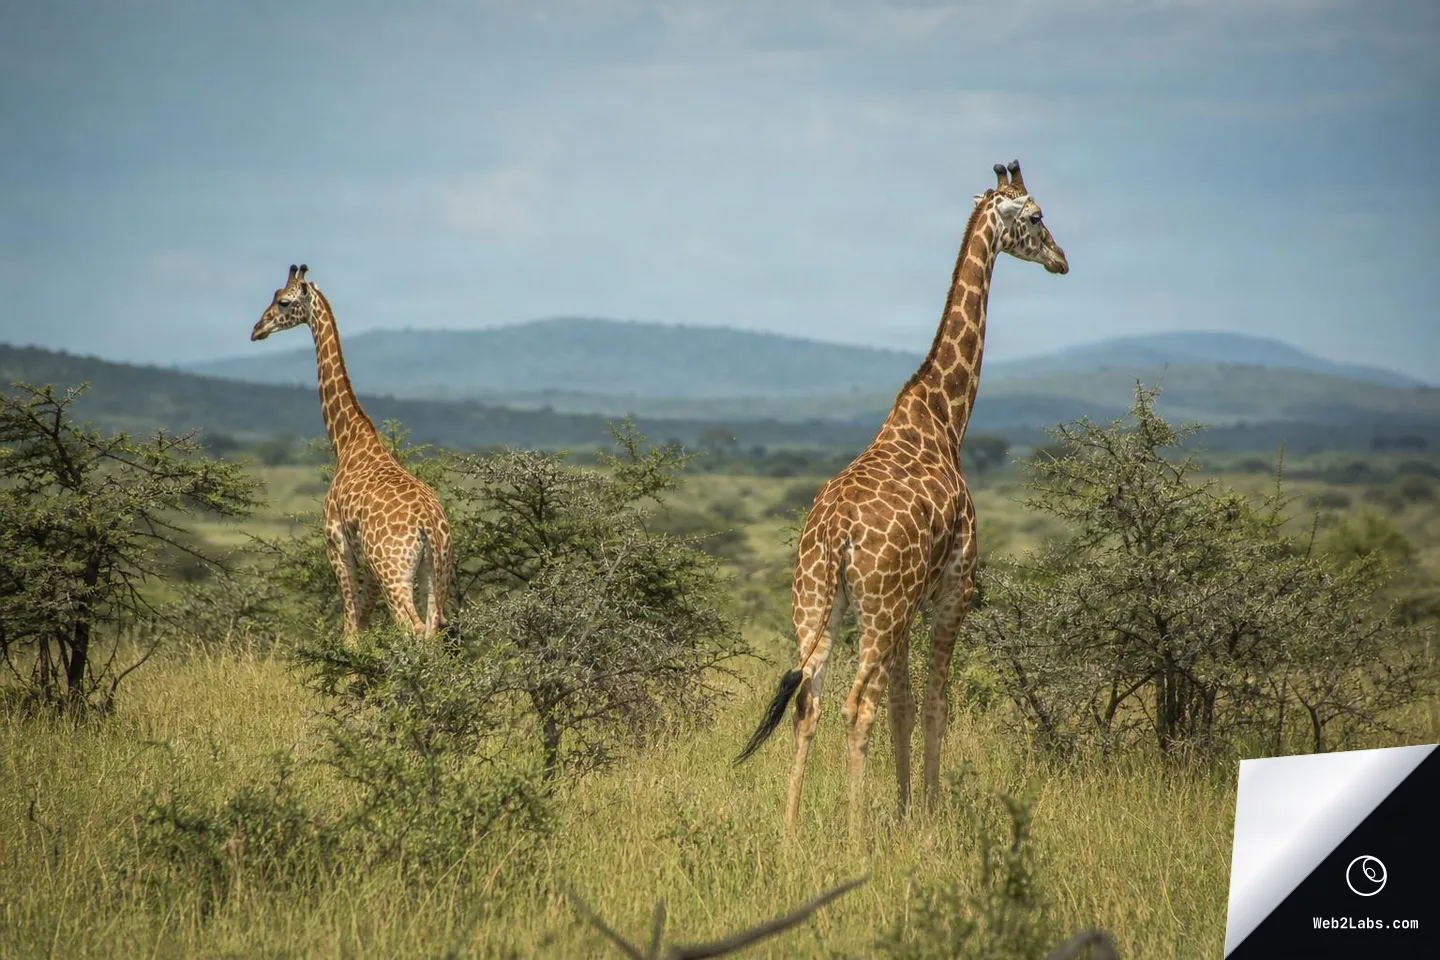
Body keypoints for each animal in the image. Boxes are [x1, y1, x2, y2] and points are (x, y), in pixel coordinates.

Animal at [250, 264, 455, 640]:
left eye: (283, 301)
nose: (257, 329)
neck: (347, 441)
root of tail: (429, 526)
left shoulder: (336, 542)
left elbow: (350, 632)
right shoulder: (368, 564)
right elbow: (361, 622)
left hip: (393, 570)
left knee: (412, 628)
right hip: (437, 570)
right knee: (432, 628)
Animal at [736, 161, 1069, 835]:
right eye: (1037, 215)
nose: (1062, 260)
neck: (943, 417)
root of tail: (836, 533)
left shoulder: (910, 603)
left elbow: (905, 704)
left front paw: (906, 807)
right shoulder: (954, 587)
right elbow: (936, 700)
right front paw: (929, 814)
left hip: (818, 602)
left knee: (808, 702)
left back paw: (789, 833)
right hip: (878, 607)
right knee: (853, 704)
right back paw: (855, 837)